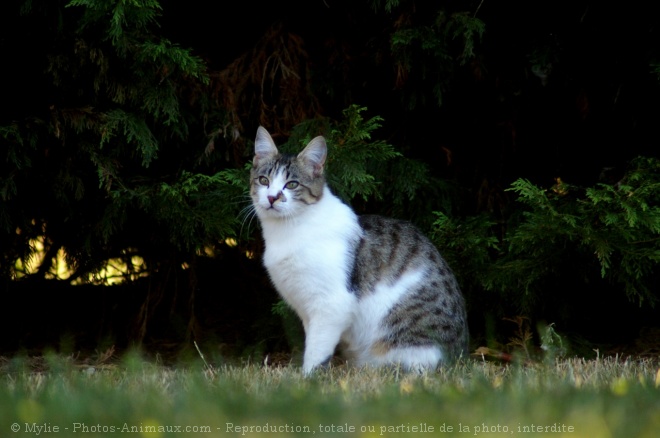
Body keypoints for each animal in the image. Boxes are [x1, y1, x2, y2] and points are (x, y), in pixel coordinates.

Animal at [250, 126, 466, 372]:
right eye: (264, 180)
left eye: (292, 184)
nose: (272, 197)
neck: (287, 230)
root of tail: (459, 355)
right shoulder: (306, 307)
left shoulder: (332, 304)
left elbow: (316, 350)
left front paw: (309, 378)